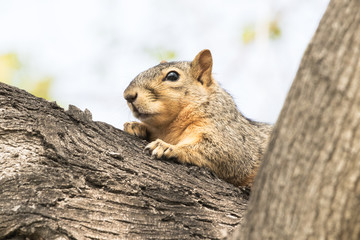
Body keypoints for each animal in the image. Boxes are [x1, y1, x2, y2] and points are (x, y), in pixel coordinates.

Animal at [122, 49, 272, 187]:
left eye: (172, 76)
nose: (128, 96)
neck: (168, 127)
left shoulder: (230, 136)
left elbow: (225, 152)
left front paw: (167, 147)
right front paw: (135, 126)